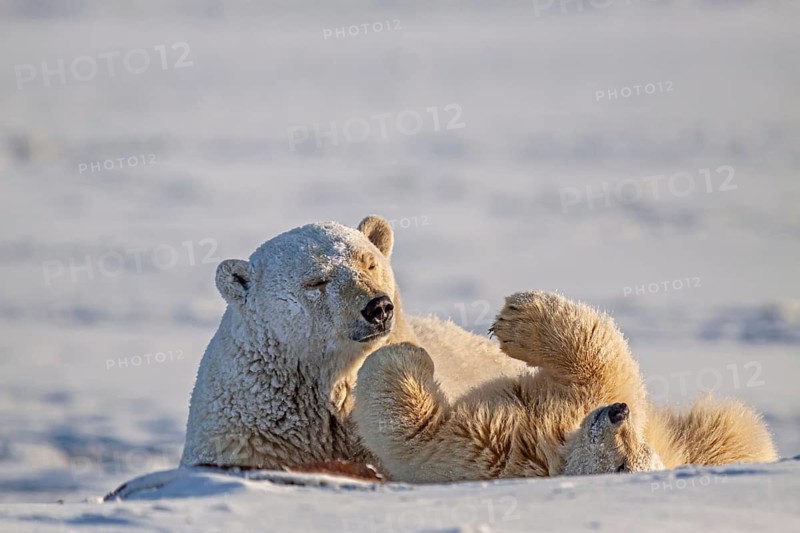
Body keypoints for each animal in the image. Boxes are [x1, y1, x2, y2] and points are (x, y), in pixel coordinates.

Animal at [353, 291, 777, 482]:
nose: (618, 413)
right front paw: (516, 317)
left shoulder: (490, 453)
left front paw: (409, 355)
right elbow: (600, 357)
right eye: (637, 441)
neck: (555, 443)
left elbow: (417, 432)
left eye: (624, 465)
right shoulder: (585, 401)